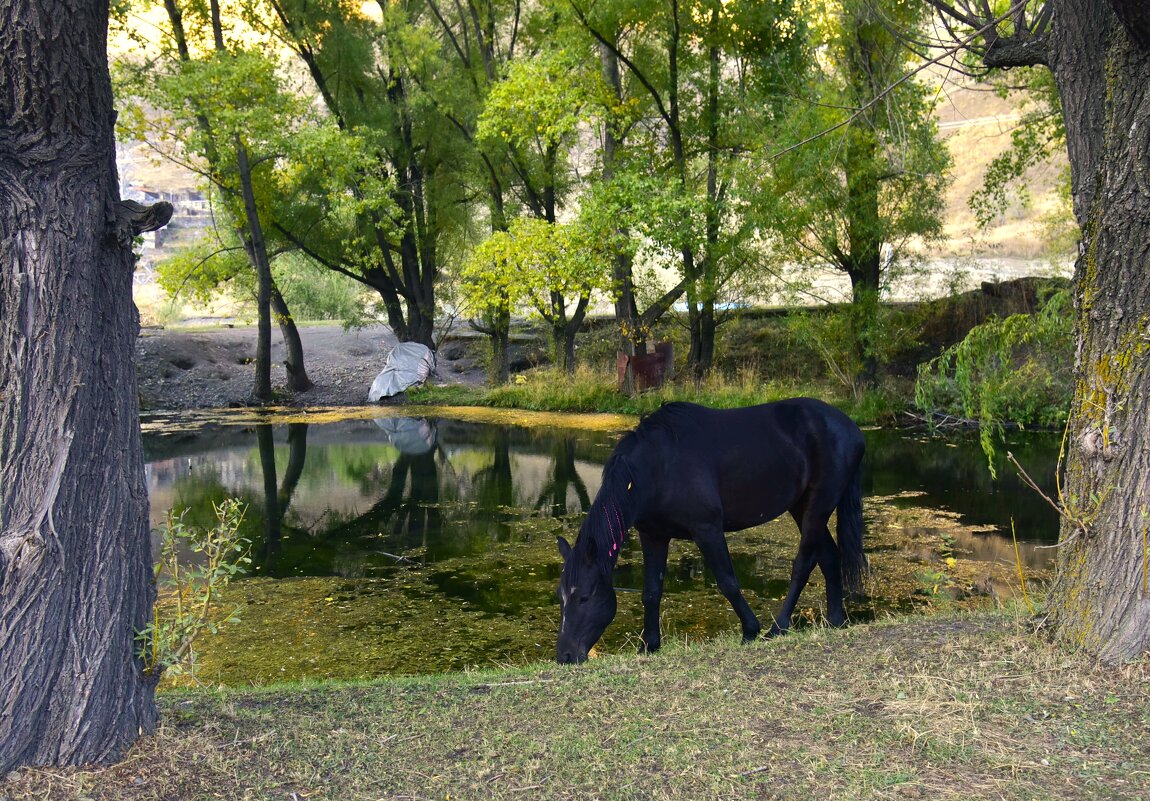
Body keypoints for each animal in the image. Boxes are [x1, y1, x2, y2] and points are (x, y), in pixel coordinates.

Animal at [554, 397, 864, 666]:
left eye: (584, 596)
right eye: (560, 597)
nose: (565, 656)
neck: (658, 466)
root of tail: (851, 428)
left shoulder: (707, 529)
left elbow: (728, 582)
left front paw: (750, 630)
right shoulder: (653, 535)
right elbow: (651, 591)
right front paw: (649, 645)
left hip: (819, 505)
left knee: (803, 564)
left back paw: (778, 627)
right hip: (801, 506)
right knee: (829, 557)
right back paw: (835, 620)